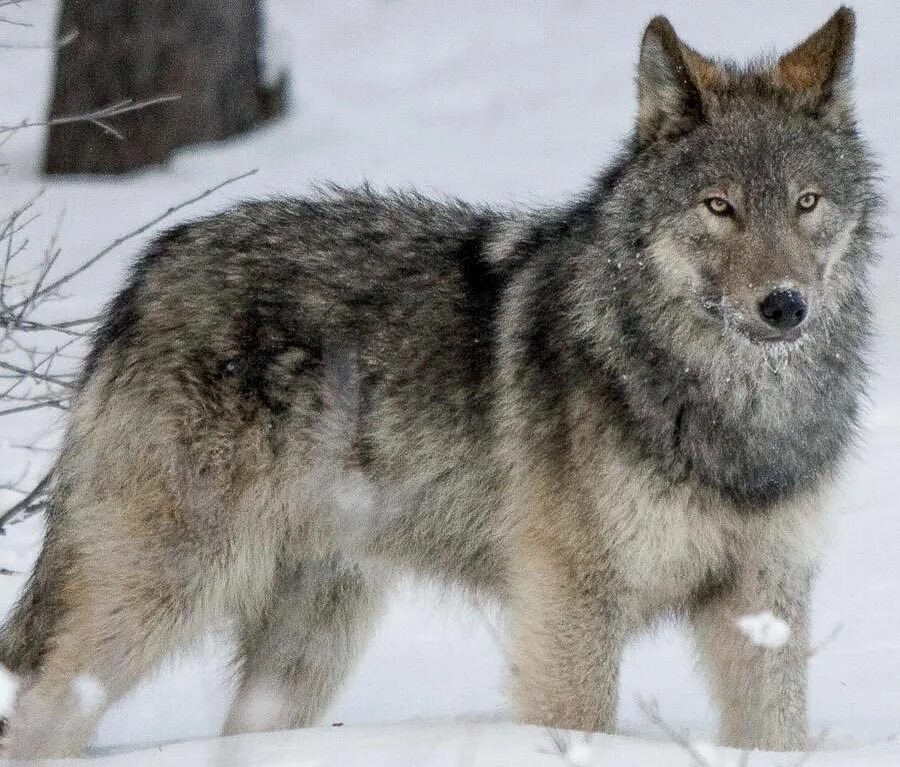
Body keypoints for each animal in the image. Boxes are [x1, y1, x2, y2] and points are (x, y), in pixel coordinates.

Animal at [0, 6, 880, 760]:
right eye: (718, 207)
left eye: (806, 203)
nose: (784, 305)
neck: (736, 407)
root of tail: (148, 269)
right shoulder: (572, 605)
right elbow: (582, 726)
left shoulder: (764, 600)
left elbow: (775, 737)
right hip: (161, 596)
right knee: (39, 711)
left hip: (311, 642)